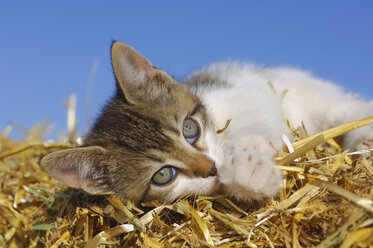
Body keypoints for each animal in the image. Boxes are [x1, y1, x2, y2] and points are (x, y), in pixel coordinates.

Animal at [39, 40, 370, 203]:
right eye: (163, 175)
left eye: (190, 129)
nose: (210, 168)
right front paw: (253, 177)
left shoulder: (245, 91)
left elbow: (256, 119)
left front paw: (248, 162)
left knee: (348, 109)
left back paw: (363, 138)